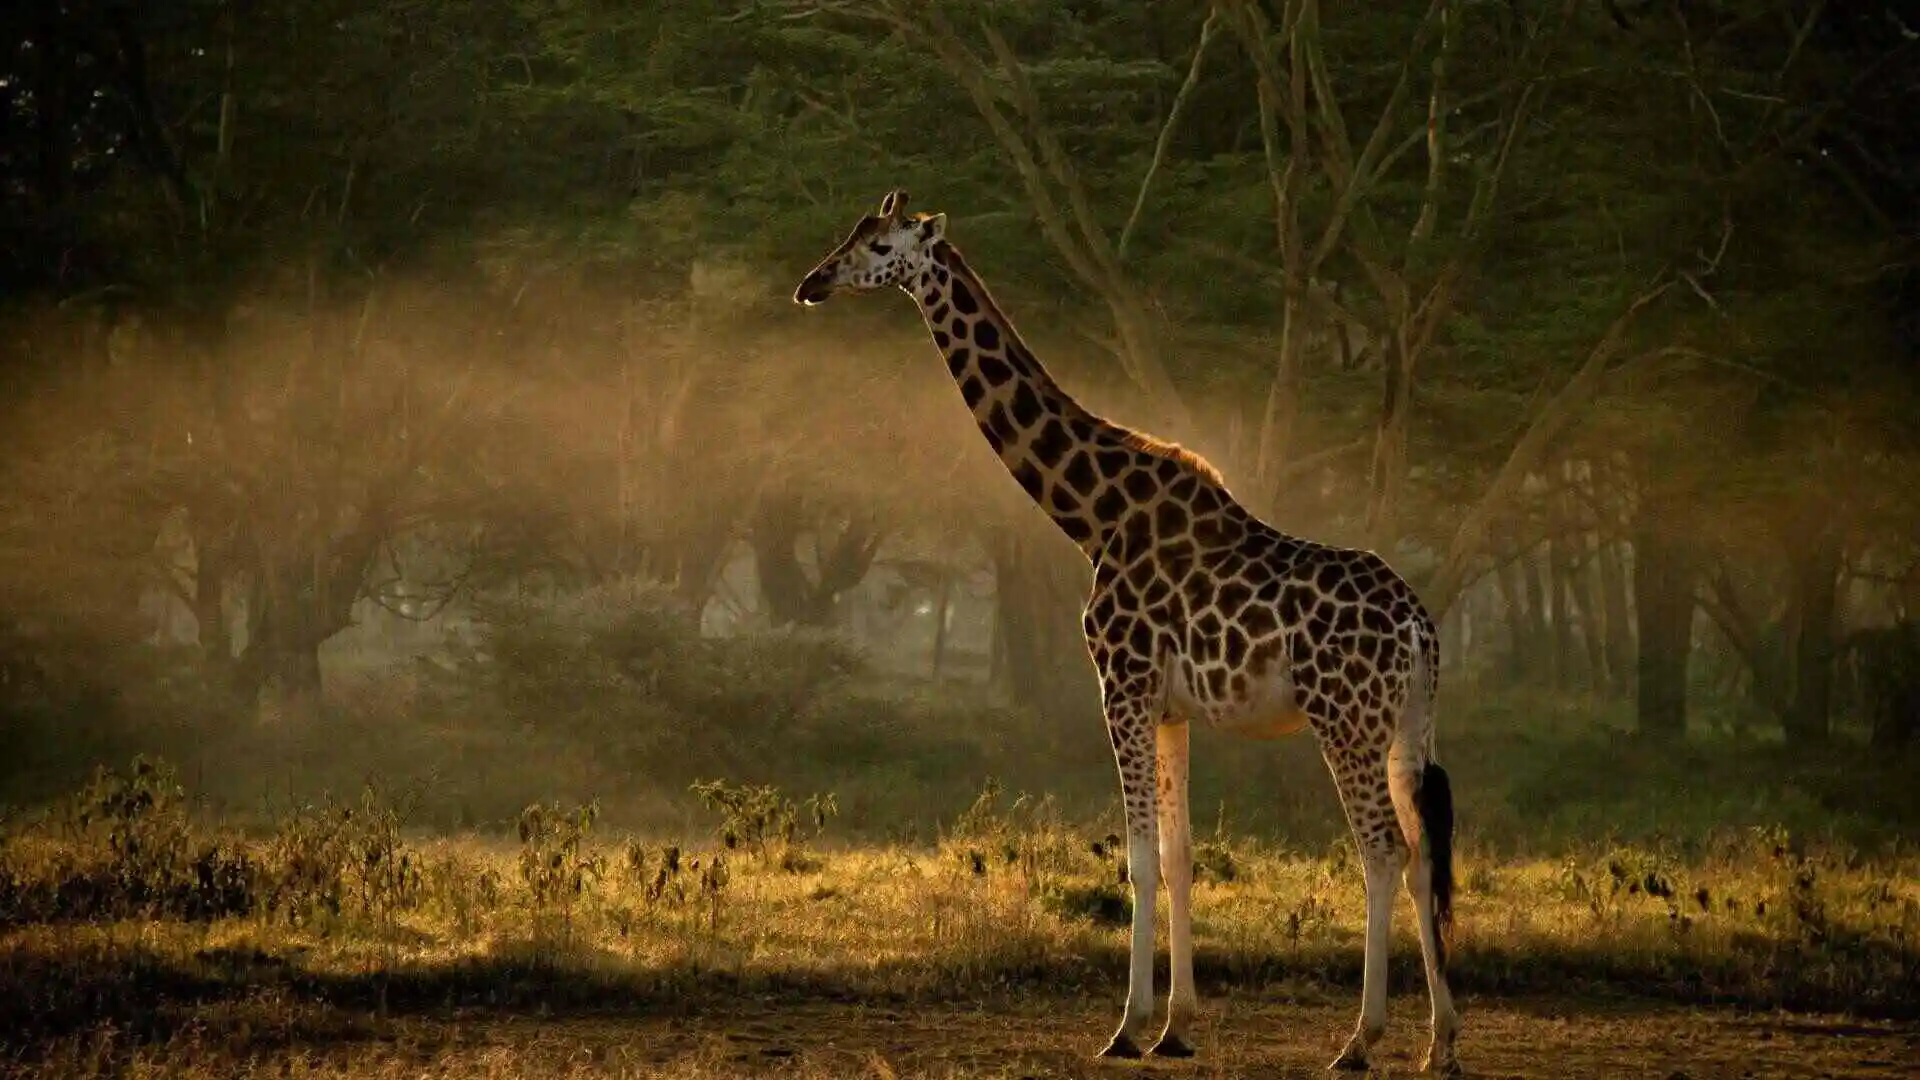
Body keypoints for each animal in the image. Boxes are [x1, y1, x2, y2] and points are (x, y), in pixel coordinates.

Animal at [787, 189, 1459, 1068]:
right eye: (852, 234)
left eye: (879, 244)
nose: (812, 283)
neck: (1093, 516)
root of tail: (1418, 629)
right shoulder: (1172, 708)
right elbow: (1179, 857)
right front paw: (1177, 1026)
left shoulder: (1122, 685)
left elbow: (1138, 859)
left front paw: (1127, 1026)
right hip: (1407, 723)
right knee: (1424, 855)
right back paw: (1442, 1042)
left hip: (1343, 719)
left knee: (1384, 850)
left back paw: (1359, 1040)